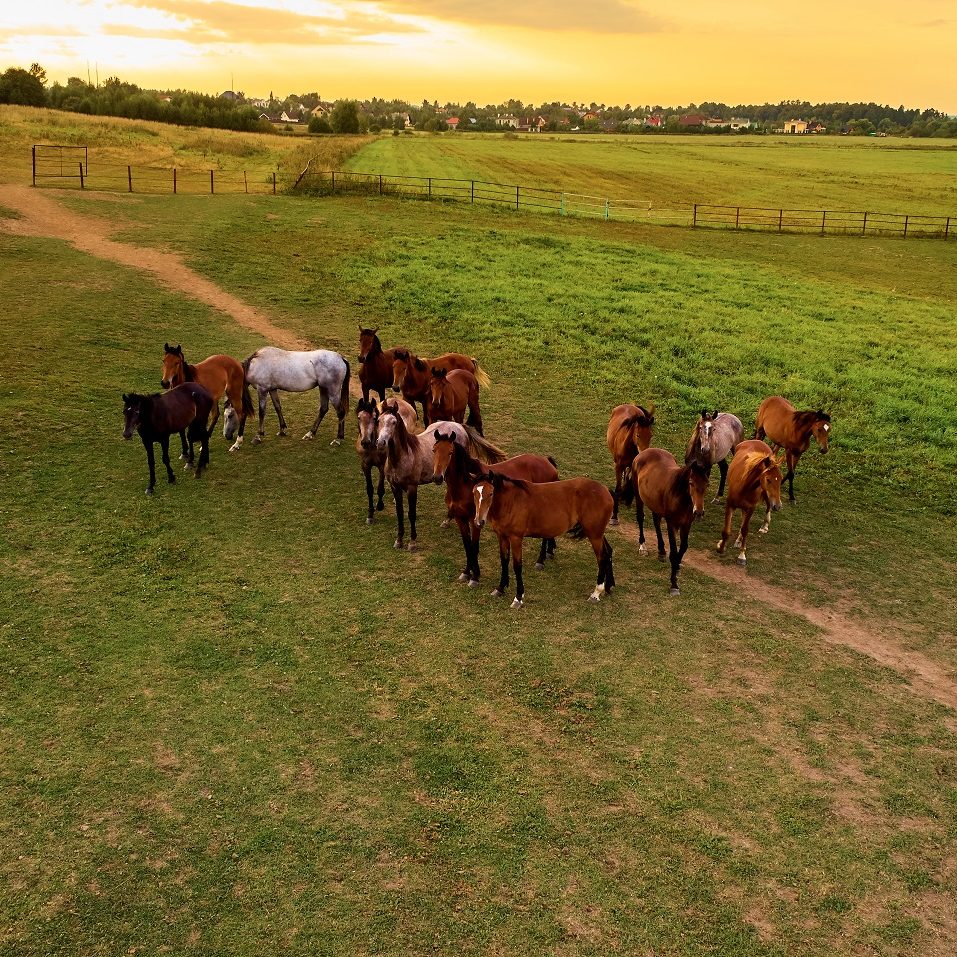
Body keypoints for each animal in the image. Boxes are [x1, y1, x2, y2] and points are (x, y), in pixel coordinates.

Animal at [355, 396, 418, 524]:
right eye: (359, 417)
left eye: (374, 418)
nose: (365, 442)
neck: (373, 447)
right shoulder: (365, 465)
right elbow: (369, 489)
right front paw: (370, 514)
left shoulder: (382, 466)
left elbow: (380, 489)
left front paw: (379, 505)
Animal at [376, 400, 505, 551]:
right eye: (379, 420)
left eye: (394, 422)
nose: (381, 442)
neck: (403, 456)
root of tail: (459, 426)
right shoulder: (395, 487)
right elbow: (400, 514)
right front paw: (399, 541)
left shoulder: (412, 488)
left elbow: (411, 514)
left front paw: (412, 543)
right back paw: (447, 520)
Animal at [431, 432, 559, 586]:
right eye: (434, 450)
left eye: (450, 453)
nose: (437, 477)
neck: (465, 485)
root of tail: (547, 461)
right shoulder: (459, 519)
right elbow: (467, 546)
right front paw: (466, 572)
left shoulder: (475, 521)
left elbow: (474, 547)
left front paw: (475, 576)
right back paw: (549, 551)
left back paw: (540, 560)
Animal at [473, 474, 615, 609]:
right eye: (474, 492)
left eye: (491, 493)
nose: (479, 522)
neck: (511, 501)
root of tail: (605, 490)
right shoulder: (502, 537)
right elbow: (504, 561)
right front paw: (500, 589)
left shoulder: (516, 538)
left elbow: (517, 566)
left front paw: (518, 597)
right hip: (597, 533)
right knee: (608, 552)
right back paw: (609, 586)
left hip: (594, 535)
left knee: (602, 557)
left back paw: (596, 593)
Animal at [623, 448, 709, 595]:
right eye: (691, 483)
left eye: (707, 484)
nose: (698, 512)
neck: (680, 497)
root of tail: (644, 452)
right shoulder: (671, 525)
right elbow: (674, 552)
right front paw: (674, 584)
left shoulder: (686, 525)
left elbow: (684, 547)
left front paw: (677, 568)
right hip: (639, 497)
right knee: (640, 518)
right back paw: (643, 547)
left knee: (656, 522)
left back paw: (661, 551)